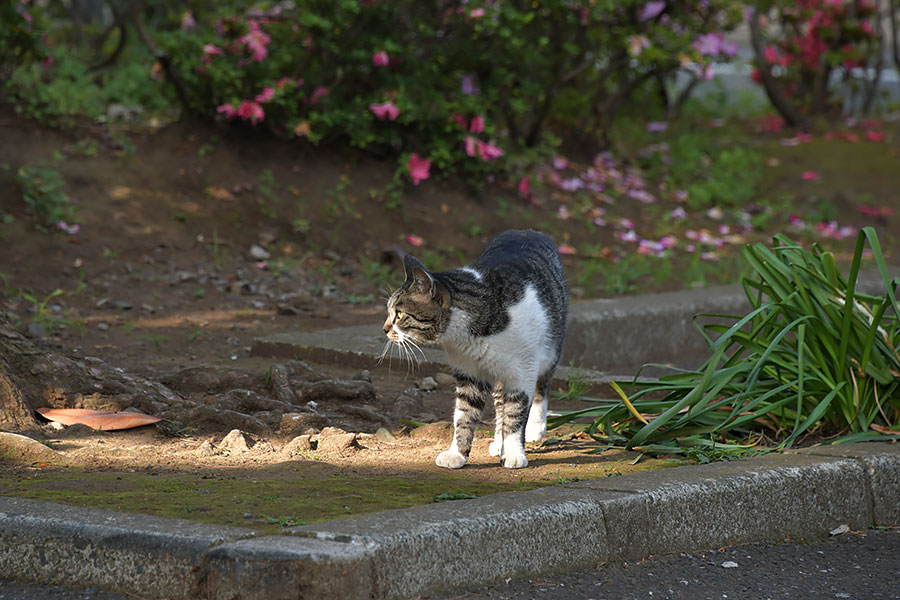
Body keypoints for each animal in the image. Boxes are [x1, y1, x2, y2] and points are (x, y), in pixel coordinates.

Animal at [382, 230, 568, 468]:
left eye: (399, 314)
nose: (385, 329)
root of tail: (529, 231)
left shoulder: (522, 371)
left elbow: (516, 413)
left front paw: (514, 453)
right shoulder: (469, 373)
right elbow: (464, 415)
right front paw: (458, 454)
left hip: (550, 347)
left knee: (541, 387)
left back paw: (535, 428)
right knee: (499, 405)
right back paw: (498, 443)